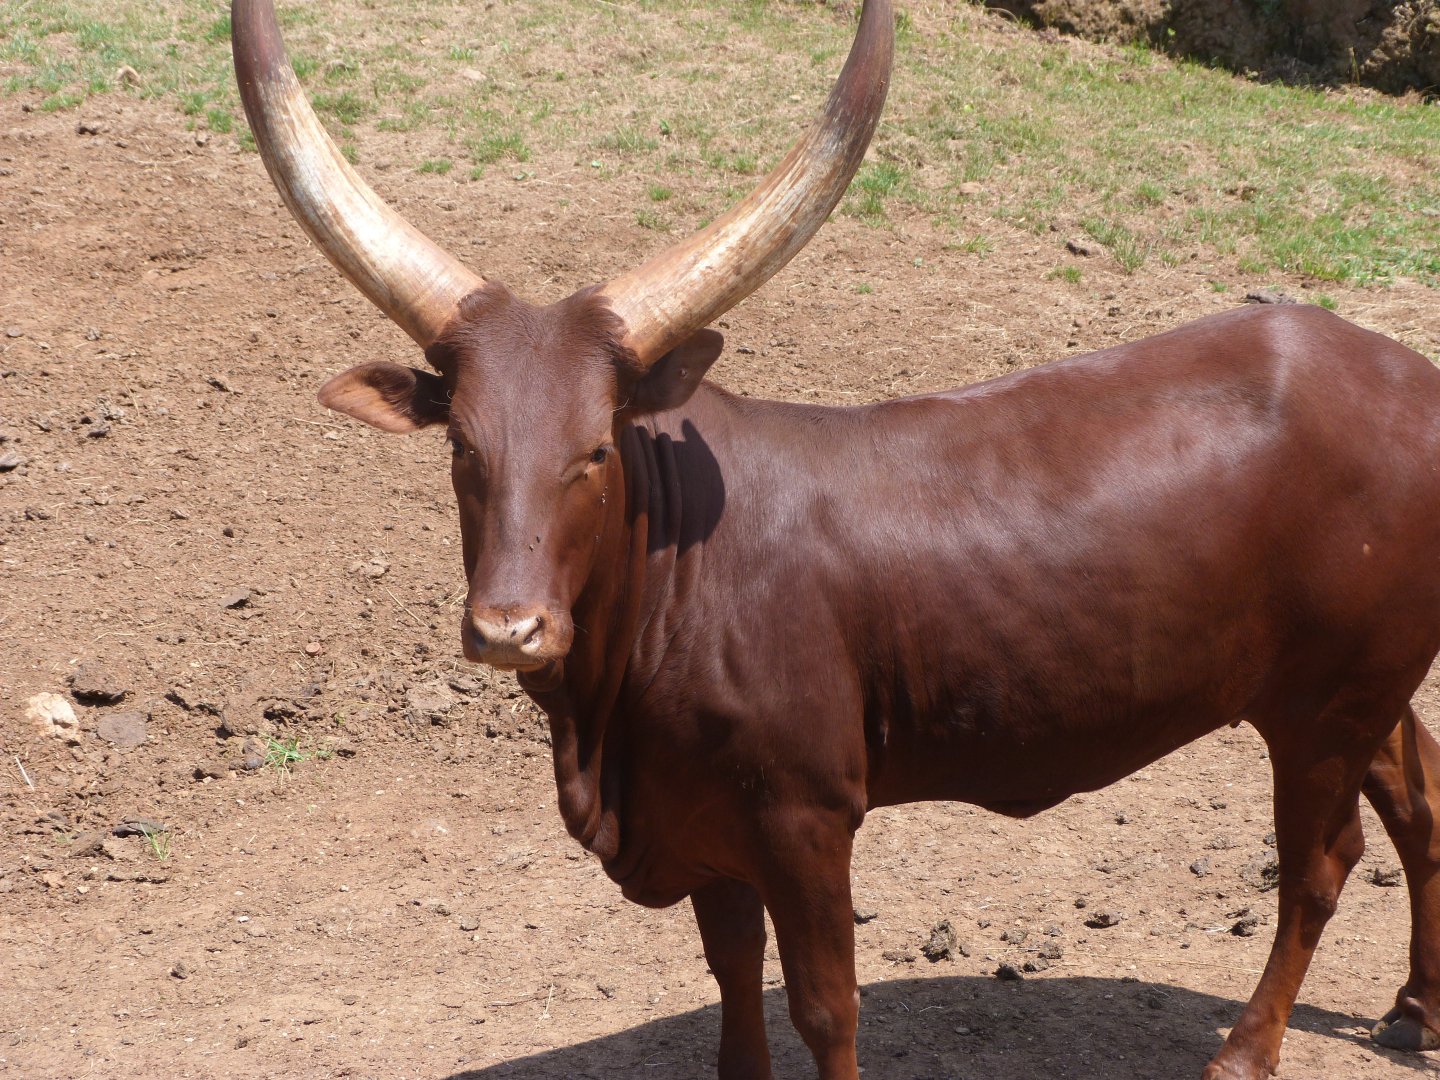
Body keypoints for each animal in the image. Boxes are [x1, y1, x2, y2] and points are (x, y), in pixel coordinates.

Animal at [232, 1, 1440, 1077]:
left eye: (597, 448)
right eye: (462, 446)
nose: (509, 629)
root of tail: (1402, 369)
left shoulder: (806, 818)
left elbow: (824, 1008)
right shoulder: (703, 823)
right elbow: (732, 978)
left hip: (1324, 706)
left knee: (1321, 864)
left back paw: (1245, 1052)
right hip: (1351, 687)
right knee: (1416, 794)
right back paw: (1415, 1011)